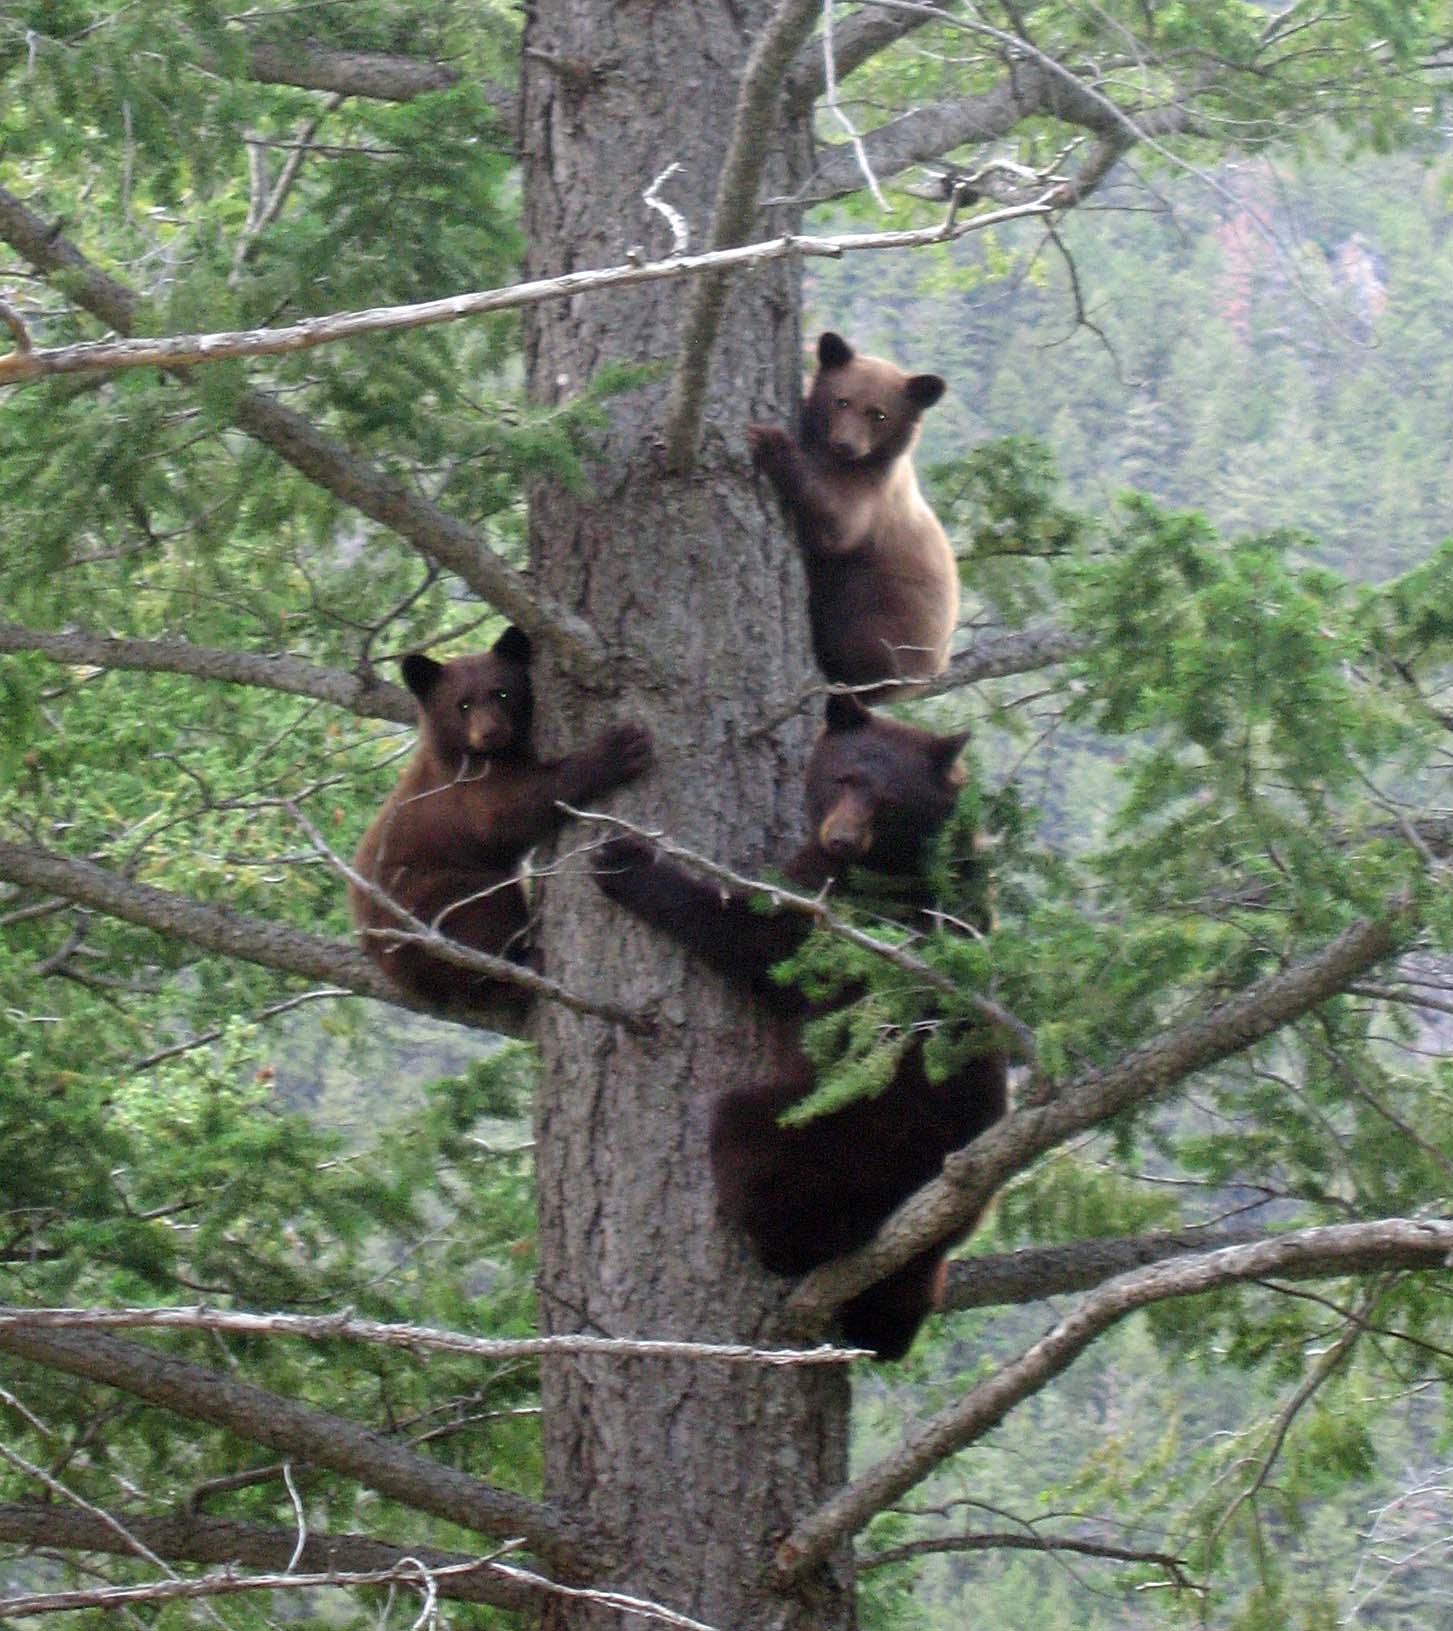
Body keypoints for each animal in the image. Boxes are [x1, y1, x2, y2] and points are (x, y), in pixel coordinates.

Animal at [350, 626, 651, 1011]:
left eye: (502, 692)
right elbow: (511, 813)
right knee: (484, 913)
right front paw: (619, 749)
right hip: (431, 904)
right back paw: (519, 968)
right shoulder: (464, 793)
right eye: (462, 704)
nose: (490, 731)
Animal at [595, 692, 1006, 1359]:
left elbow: (752, 937)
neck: (892, 863)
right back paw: (887, 1328)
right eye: (843, 777)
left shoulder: (829, 910)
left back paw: (779, 1249)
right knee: (911, 1279)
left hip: (829, 1133)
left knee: (752, 1145)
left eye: (888, 800)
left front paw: (624, 860)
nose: (840, 838)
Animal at [748, 331, 959, 699]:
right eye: (842, 401)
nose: (845, 444)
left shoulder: (872, 494)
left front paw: (772, 443)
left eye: (879, 414)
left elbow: (838, 522)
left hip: (879, 619)